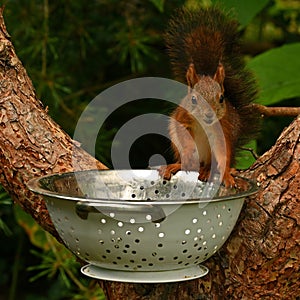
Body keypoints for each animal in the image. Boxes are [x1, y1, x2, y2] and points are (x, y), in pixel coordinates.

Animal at [161, 5, 258, 188]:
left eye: (221, 98)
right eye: (193, 99)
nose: (209, 115)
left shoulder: (223, 130)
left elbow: (222, 153)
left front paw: (226, 175)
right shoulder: (182, 116)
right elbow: (182, 133)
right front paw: (188, 151)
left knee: (208, 164)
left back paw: (207, 171)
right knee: (189, 163)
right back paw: (177, 165)